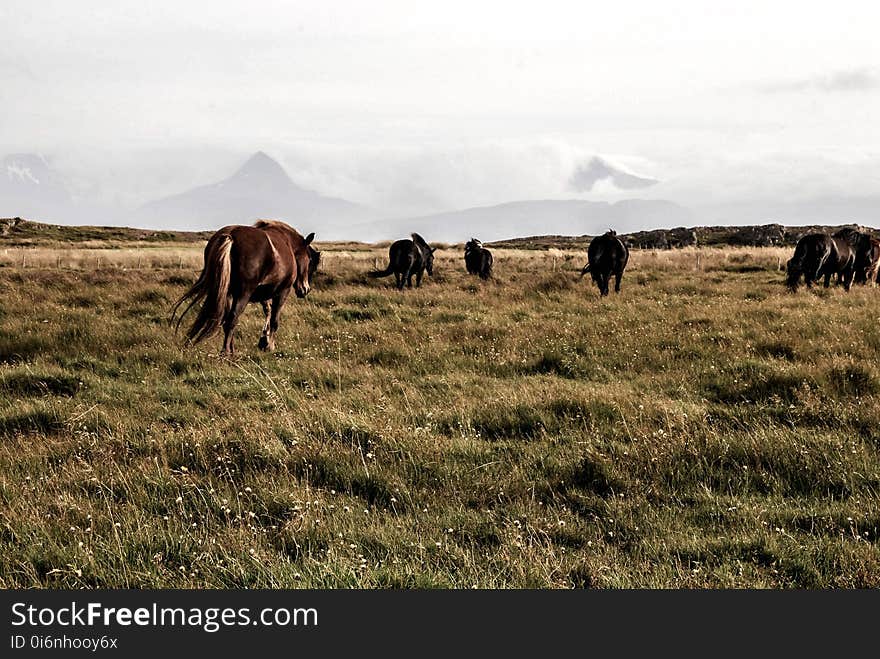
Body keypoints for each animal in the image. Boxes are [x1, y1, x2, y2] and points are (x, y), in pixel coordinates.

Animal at [172, 220, 320, 356]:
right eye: (309, 260)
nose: (305, 289)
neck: (287, 243)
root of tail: (230, 236)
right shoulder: (282, 291)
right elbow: (274, 319)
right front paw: (269, 345)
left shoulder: (263, 292)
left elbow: (267, 311)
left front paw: (264, 340)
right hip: (243, 294)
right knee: (232, 319)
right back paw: (226, 353)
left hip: (227, 293)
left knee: (227, 320)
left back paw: (231, 351)